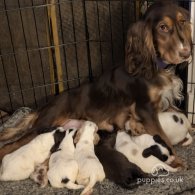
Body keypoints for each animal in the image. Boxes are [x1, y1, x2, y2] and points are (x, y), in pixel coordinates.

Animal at [0, 1, 192, 167]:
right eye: (163, 27)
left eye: (183, 22)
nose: (186, 53)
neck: (155, 66)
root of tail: (44, 107)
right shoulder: (145, 109)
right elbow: (163, 136)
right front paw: (176, 159)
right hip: (44, 125)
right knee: (8, 146)